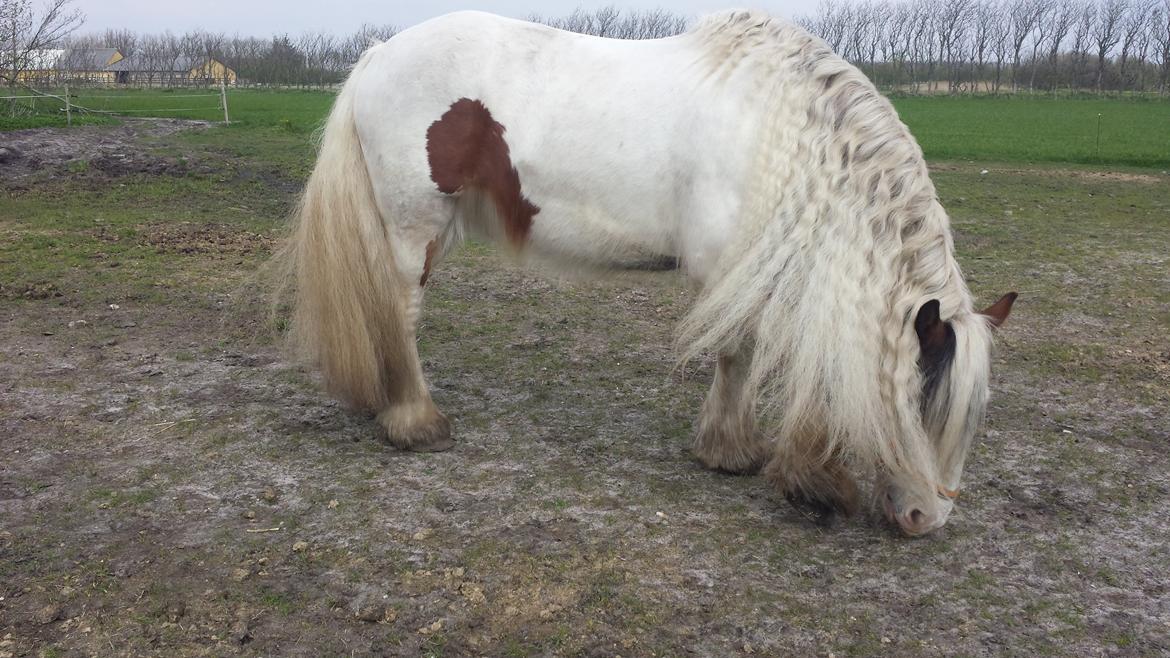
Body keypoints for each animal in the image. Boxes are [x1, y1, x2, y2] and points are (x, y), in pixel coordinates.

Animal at [273, 8, 1015, 533]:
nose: (927, 518)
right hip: (414, 229)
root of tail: (379, 54)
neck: (788, 134)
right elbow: (739, 354)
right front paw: (739, 456)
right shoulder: (729, 272)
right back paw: (414, 420)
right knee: (401, 315)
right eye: (923, 403)